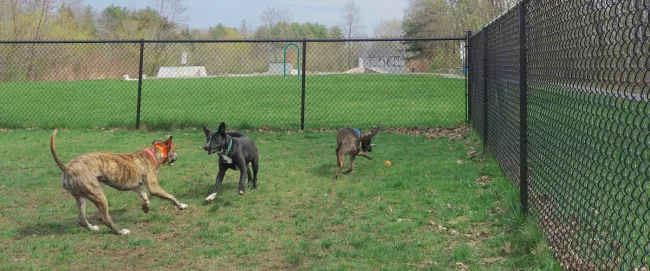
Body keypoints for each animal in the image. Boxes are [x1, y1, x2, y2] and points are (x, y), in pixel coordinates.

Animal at [50, 130, 187, 236]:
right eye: (174, 149)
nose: (177, 156)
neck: (152, 153)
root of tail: (68, 169)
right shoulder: (154, 187)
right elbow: (171, 196)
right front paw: (181, 205)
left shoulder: (135, 186)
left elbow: (144, 195)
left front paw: (145, 207)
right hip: (98, 195)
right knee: (106, 219)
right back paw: (120, 231)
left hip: (81, 197)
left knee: (82, 219)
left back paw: (92, 228)